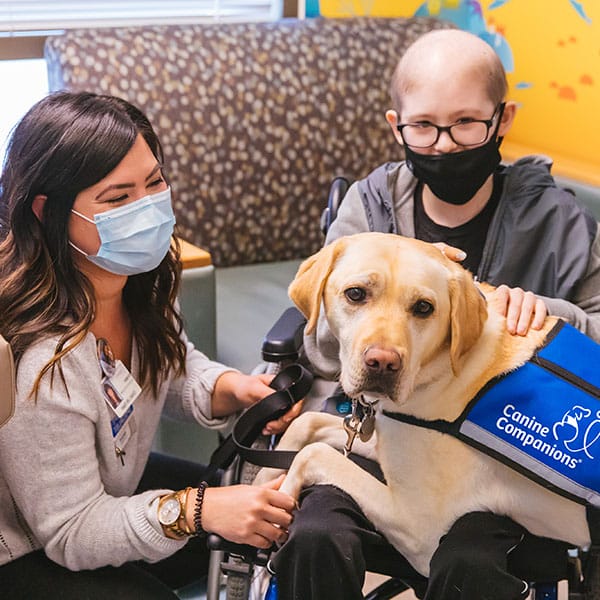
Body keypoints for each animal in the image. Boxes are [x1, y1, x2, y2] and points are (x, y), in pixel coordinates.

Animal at [256, 231, 592, 576]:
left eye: (423, 307)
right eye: (355, 294)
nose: (383, 363)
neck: (445, 369)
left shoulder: (419, 527)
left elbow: (313, 454)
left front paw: (281, 499)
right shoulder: (388, 437)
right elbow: (306, 422)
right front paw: (260, 486)